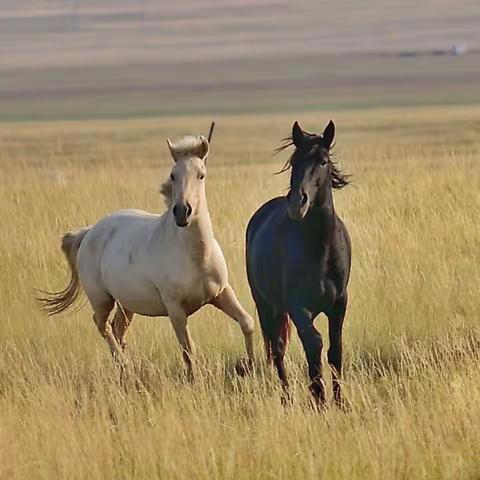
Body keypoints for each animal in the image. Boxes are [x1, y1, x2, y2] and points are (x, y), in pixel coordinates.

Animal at [40, 133, 255, 376]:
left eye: (201, 174)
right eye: (173, 175)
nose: (183, 212)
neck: (196, 257)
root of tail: (89, 232)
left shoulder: (221, 293)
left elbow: (247, 323)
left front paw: (249, 365)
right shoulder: (175, 309)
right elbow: (188, 349)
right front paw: (195, 378)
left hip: (126, 304)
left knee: (117, 329)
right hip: (102, 299)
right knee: (102, 325)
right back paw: (125, 365)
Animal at [246, 120, 350, 404]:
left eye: (323, 161)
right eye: (294, 161)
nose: (297, 203)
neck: (321, 251)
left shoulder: (339, 304)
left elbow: (335, 351)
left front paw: (339, 401)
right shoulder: (298, 308)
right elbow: (314, 345)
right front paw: (319, 398)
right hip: (266, 305)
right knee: (277, 348)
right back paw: (287, 397)